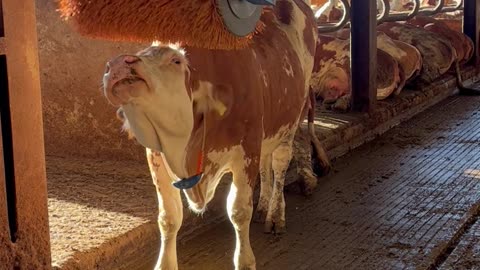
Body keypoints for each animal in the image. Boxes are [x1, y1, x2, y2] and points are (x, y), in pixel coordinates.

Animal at [103, 1, 332, 268]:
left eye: (175, 61)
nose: (119, 64)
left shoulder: (247, 149)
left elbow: (239, 210)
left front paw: (245, 260)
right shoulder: (156, 157)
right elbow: (168, 217)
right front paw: (165, 263)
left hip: (290, 121)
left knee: (280, 164)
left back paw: (275, 214)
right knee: (266, 165)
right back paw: (264, 205)